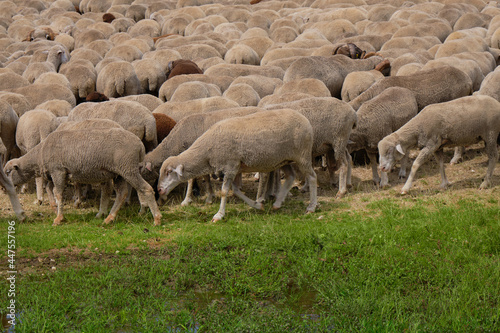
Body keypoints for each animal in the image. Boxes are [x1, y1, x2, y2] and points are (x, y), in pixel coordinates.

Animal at [5, 127, 162, 226]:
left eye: (7, 172)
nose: (3, 188)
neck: (40, 154)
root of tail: (140, 145)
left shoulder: (58, 171)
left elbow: (58, 193)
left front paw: (59, 218)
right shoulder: (55, 174)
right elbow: (51, 190)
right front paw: (55, 210)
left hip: (128, 169)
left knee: (146, 189)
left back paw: (157, 218)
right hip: (120, 173)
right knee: (121, 193)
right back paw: (109, 218)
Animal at [158, 109, 318, 223]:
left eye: (168, 172)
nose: (159, 190)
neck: (207, 150)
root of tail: (305, 119)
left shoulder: (230, 166)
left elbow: (224, 192)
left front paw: (219, 215)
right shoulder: (234, 168)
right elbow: (235, 190)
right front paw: (257, 205)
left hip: (302, 156)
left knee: (312, 177)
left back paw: (311, 207)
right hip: (284, 159)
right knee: (290, 177)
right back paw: (277, 203)